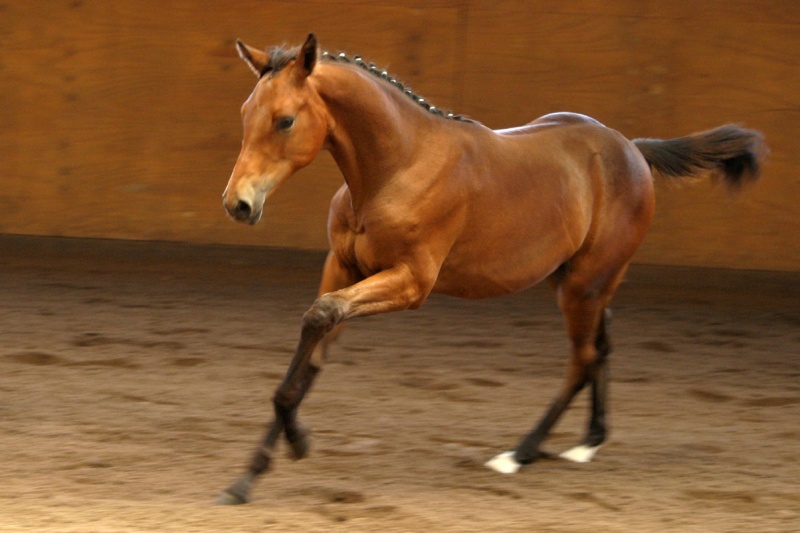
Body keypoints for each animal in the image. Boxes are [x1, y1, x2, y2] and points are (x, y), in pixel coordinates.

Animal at [216, 34, 764, 502]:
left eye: (285, 120)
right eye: (245, 112)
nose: (238, 204)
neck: (397, 166)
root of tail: (633, 149)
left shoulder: (411, 282)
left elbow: (319, 318)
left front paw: (291, 446)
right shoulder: (343, 268)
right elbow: (314, 347)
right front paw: (253, 475)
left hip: (584, 285)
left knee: (583, 358)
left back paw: (520, 453)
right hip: (584, 280)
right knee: (602, 344)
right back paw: (588, 441)